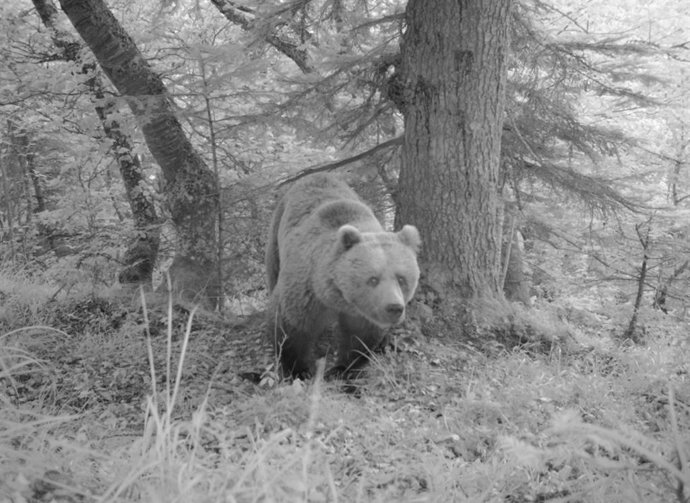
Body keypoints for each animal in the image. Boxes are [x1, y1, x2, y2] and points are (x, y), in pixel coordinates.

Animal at [265, 173, 421, 378]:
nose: (394, 307)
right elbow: (291, 326)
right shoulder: (306, 290)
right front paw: (299, 370)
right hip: (276, 233)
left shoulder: (364, 312)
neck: (338, 298)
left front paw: (342, 368)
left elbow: (360, 337)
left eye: (402, 278)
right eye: (373, 278)